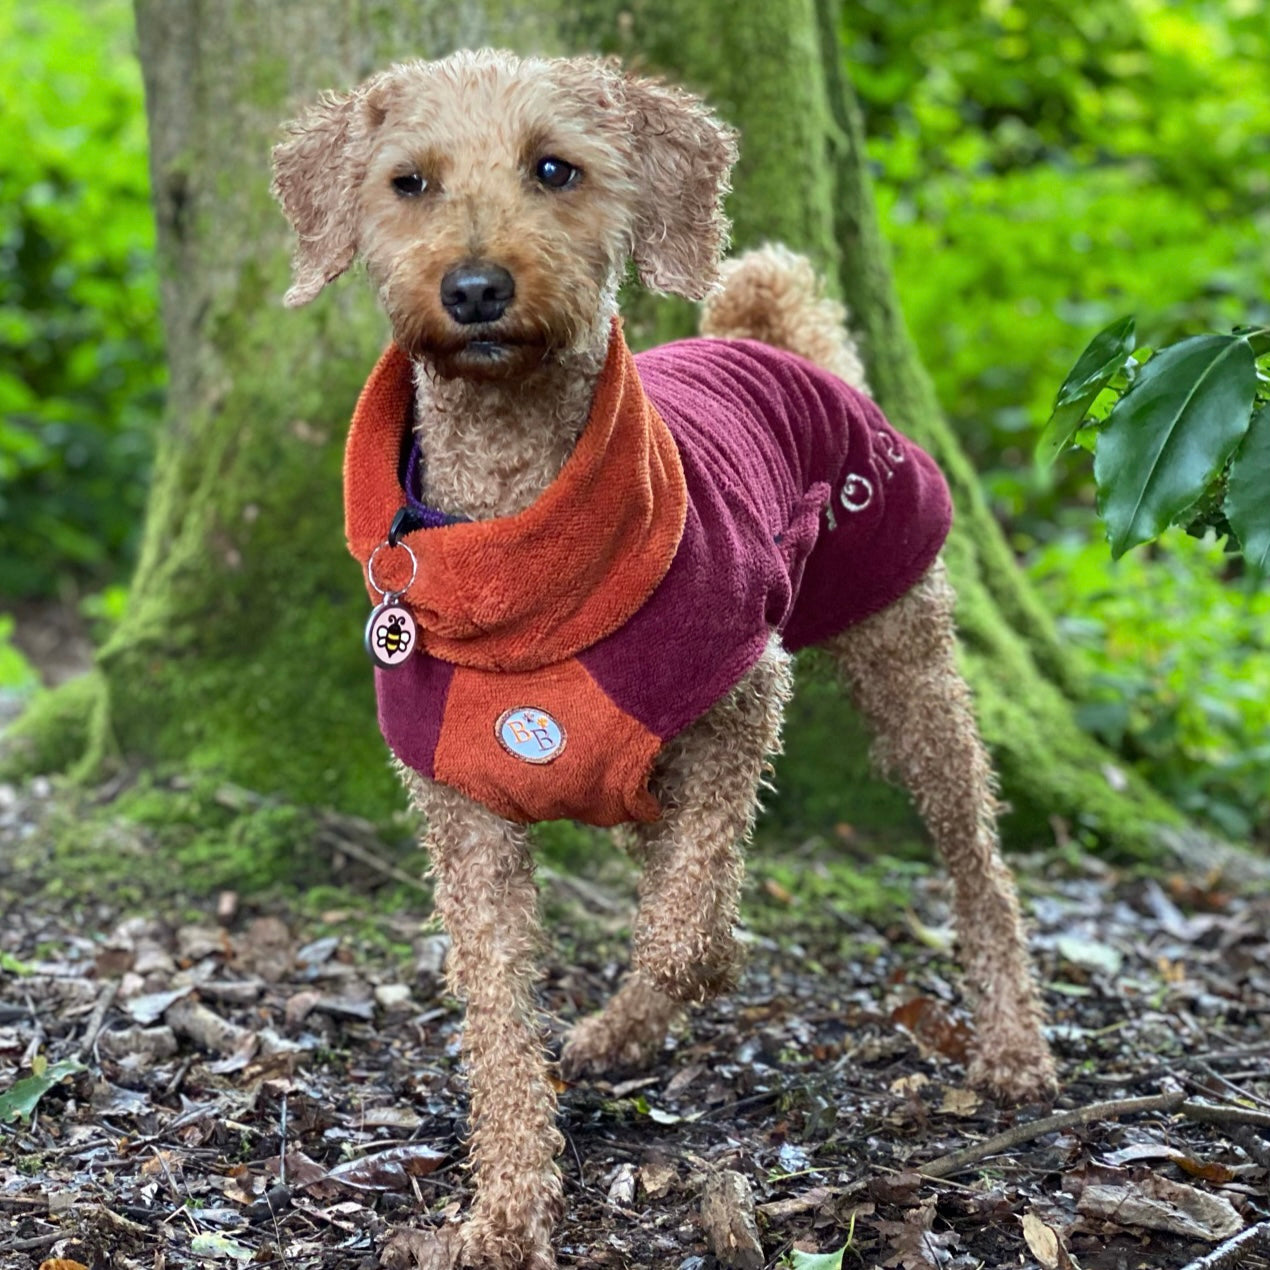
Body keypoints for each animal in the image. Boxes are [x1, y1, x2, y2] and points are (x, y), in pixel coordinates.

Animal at [273, 52, 1056, 1270]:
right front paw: (503, 1214)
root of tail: (774, 339)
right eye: (409, 183)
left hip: (909, 663)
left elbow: (694, 935)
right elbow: (497, 1020)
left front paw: (665, 987)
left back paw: (1015, 1045)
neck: (515, 538)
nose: (476, 289)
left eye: (555, 168)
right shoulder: (464, 814)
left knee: (978, 864)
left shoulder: (740, 701)